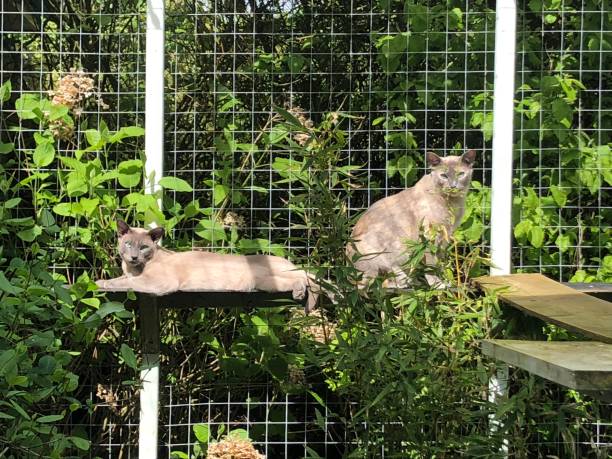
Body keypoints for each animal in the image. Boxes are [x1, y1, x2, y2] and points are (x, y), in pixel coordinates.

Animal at [94, 220, 326, 312]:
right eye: (128, 244)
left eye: (143, 247)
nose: (133, 257)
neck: (134, 268)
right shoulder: (129, 274)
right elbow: (121, 279)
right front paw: (101, 281)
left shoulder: (157, 283)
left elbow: (129, 283)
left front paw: (101, 284)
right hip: (266, 281)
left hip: (264, 280)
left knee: (306, 279)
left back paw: (300, 293)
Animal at [346, 150, 476, 288]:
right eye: (444, 176)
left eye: (460, 174)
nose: (453, 186)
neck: (452, 204)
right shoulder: (428, 235)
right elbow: (431, 263)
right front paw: (437, 284)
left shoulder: (445, 236)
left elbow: (439, 263)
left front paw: (444, 282)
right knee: (378, 280)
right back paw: (407, 281)